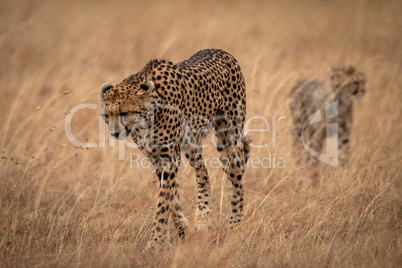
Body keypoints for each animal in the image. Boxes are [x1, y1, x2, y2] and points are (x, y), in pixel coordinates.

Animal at [99, 48, 250, 247]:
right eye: (106, 115)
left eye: (124, 112)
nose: (115, 133)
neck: (146, 118)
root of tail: (220, 51)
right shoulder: (157, 159)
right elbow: (172, 199)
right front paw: (183, 228)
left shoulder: (169, 158)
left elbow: (164, 202)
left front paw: (155, 242)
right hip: (191, 146)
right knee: (203, 173)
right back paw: (203, 218)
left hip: (229, 142)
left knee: (237, 181)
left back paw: (234, 226)